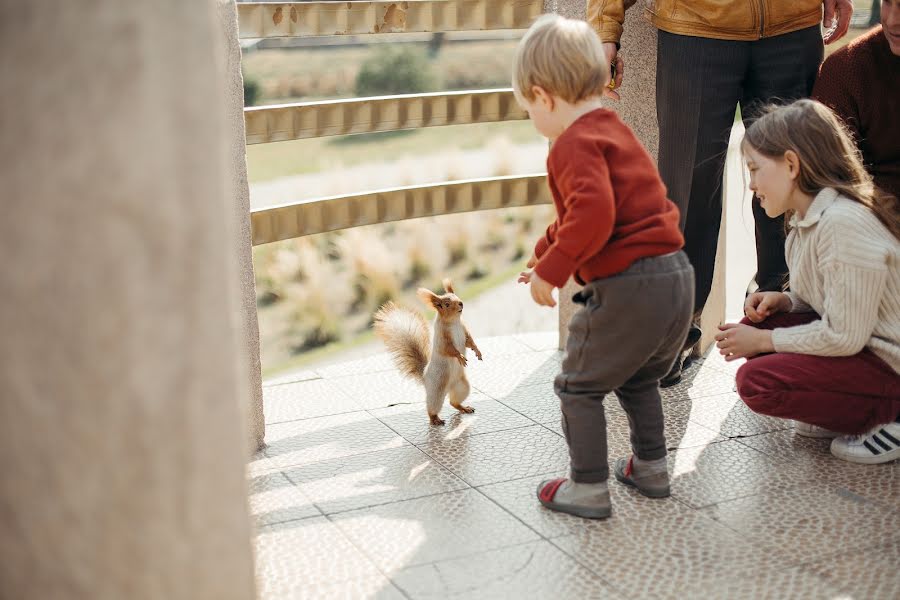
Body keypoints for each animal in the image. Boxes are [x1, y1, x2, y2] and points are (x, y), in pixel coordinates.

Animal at [374, 278, 482, 424]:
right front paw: (460, 356)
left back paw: (464, 408)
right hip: (436, 391)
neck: (454, 322)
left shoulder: (464, 331)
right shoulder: (442, 340)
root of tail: (425, 377)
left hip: (462, 386)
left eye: (456, 295)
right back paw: (435, 419)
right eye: (447, 304)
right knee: (432, 408)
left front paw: (477, 351)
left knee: (453, 402)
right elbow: (449, 350)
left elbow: (470, 341)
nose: (461, 303)